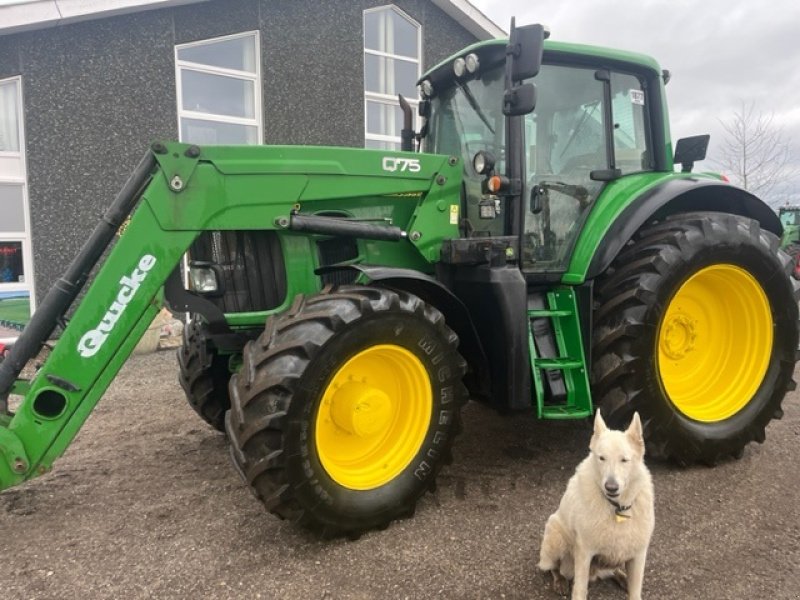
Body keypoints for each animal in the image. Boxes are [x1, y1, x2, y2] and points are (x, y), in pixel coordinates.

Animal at [536, 412, 656, 600]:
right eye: (602, 458)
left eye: (624, 460)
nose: (611, 487)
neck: (617, 507)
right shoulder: (585, 553)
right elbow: (579, 590)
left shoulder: (638, 555)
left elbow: (635, 590)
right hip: (555, 537)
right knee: (552, 568)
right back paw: (560, 580)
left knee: (613, 569)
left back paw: (622, 576)